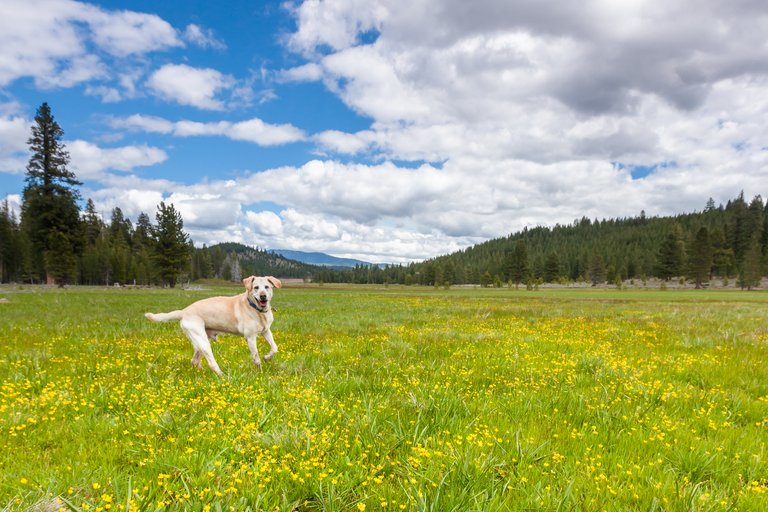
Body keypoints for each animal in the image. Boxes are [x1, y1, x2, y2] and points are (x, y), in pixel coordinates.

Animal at [145, 274, 282, 374]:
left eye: (267, 287)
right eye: (256, 287)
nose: (263, 296)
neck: (257, 310)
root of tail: (184, 311)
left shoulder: (266, 331)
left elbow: (274, 348)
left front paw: (267, 357)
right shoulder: (250, 337)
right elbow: (256, 357)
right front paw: (259, 372)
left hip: (200, 342)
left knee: (194, 361)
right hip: (203, 342)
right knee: (211, 362)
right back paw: (221, 376)